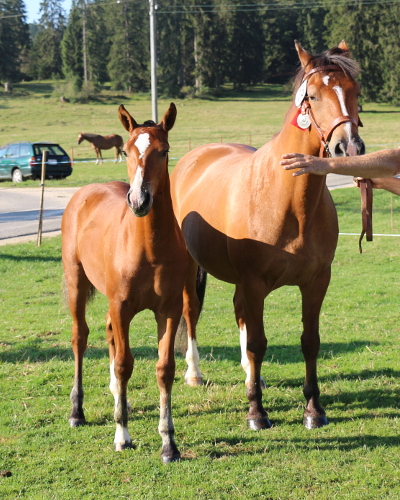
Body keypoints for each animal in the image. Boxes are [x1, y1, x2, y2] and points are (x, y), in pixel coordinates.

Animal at [62, 103, 188, 462]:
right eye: (128, 151)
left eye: (164, 151)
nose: (139, 200)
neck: (149, 248)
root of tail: (85, 192)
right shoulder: (121, 307)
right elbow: (123, 364)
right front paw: (122, 435)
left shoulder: (169, 309)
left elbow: (164, 369)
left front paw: (168, 443)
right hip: (76, 283)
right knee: (80, 338)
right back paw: (77, 412)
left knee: (107, 334)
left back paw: (121, 399)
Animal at [170, 41, 364, 430]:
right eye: (313, 96)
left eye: (355, 92)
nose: (348, 147)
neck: (289, 200)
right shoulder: (255, 281)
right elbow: (258, 343)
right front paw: (257, 413)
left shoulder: (316, 282)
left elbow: (309, 341)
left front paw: (313, 410)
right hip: (191, 269)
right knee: (191, 311)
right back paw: (195, 373)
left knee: (239, 314)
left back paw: (252, 377)